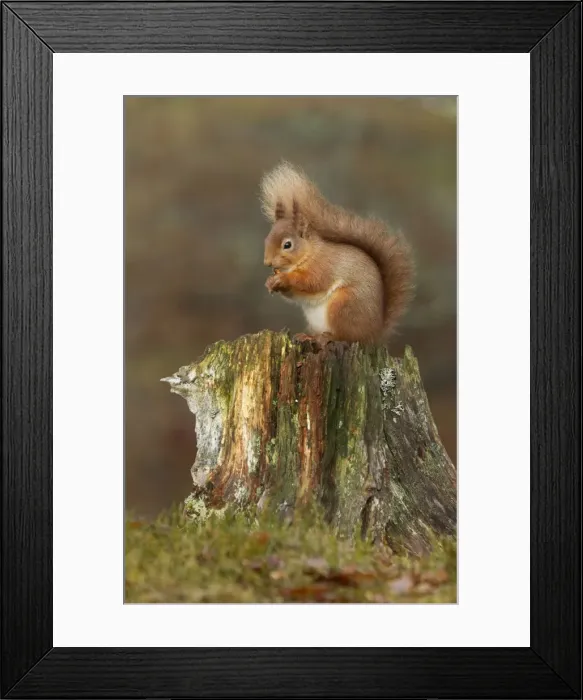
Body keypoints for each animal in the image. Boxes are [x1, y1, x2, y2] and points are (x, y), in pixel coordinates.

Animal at [261, 161, 414, 345]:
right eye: (267, 238)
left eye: (287, 245)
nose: (267, 263)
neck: (309, 253)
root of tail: (373, 334)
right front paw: (270, 282)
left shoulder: (323, 266)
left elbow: (311, 281)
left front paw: (283, 279)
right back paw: (309, 336)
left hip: (344, 305)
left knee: (347, 336)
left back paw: (326, 337)